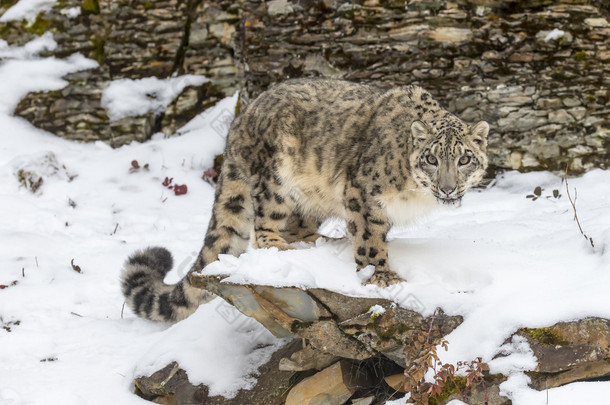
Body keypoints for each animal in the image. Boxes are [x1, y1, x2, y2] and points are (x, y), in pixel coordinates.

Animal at [121, 77, 486, 320]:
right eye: (432, 158)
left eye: (464, 159)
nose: (448, 188)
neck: (415, 192)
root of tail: (241, 118)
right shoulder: (362, 193)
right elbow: (370, 240)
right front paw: (381, 276)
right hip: (275, 178)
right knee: (264, 226)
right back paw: (281, 247)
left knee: (297, 225)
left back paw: (322, 242)